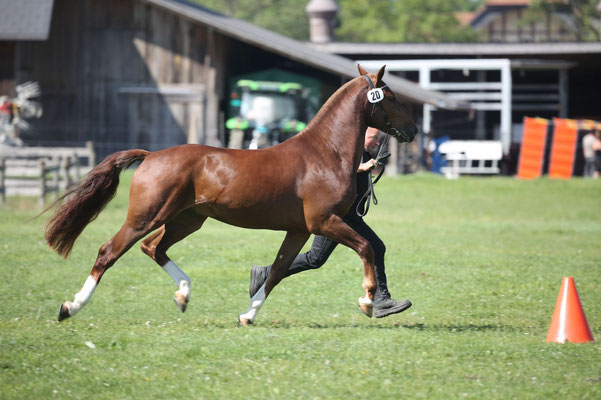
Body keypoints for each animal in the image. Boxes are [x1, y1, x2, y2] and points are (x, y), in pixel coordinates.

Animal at [45, 65, 418, 326]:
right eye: (392, 97)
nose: (413, 129)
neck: (324, 153)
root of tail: (150, 156)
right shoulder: (325, 221)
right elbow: (366, 247)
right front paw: (368, 302)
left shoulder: (299, 230)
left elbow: (278, 271)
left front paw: (248, 315)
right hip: (146, 216)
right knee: (109, 251)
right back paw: (70, 307)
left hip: (185, 220)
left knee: (153, 248)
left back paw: (183, 295)